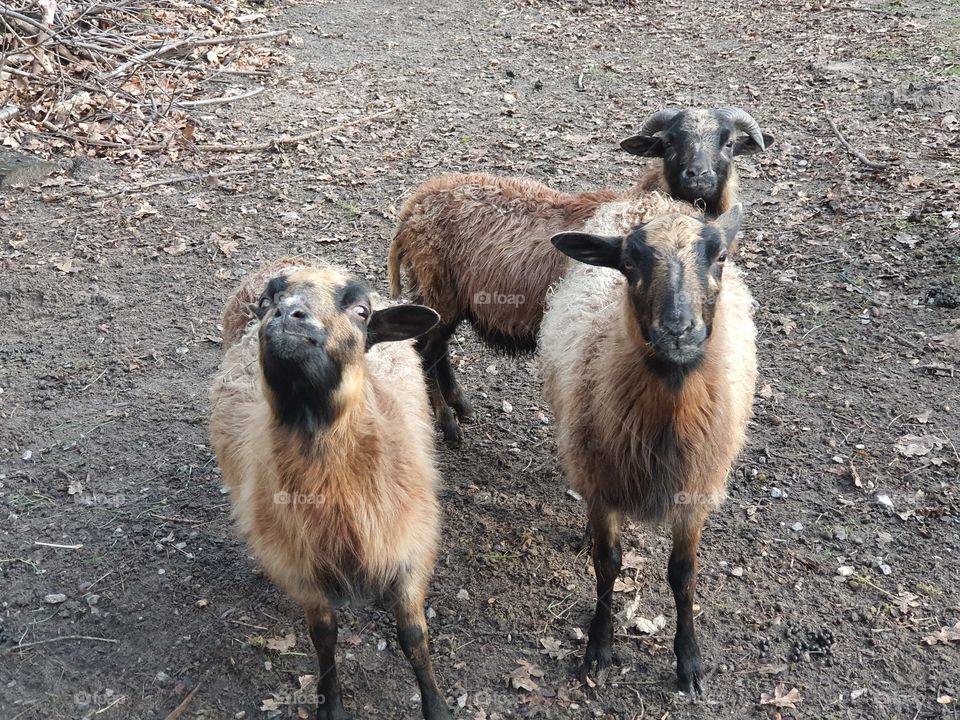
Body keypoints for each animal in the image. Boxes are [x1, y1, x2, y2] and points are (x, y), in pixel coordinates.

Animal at [210, 260, 452, 720]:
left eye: (361, 311)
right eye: (267, 302)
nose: (288, 315)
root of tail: (291, 256)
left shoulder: (412, 546)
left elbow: (414, 636)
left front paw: (437, 707)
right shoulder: (298, 566)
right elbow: (323, 636)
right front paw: (331, 705)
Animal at [389, 106, 771, 446]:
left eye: (728, 143)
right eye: (669, 142)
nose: (699, 176)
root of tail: (414, 203)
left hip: (442, 296)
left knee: (438, 349)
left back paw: (460, 405)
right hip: (438, 289)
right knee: (427, 351)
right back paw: (448, 424)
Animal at [539, 198, 757, 698]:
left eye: (720, 256)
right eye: (628, 263)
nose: (678, 329)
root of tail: (651, 199)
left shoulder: (693, 493)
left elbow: (683, 574)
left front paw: (689, 663)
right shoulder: (603, 486)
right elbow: (607, 564)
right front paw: (598, 650)